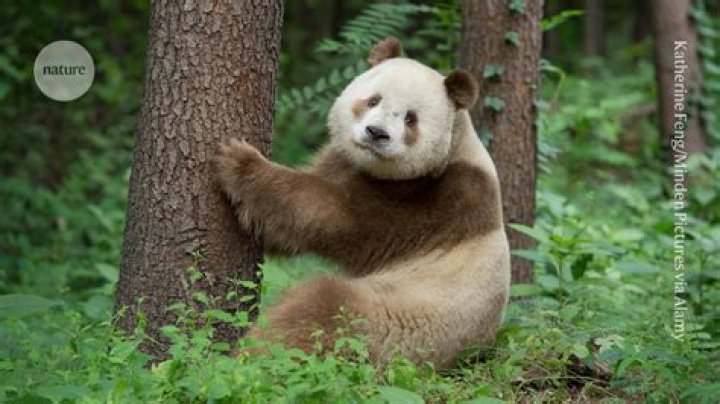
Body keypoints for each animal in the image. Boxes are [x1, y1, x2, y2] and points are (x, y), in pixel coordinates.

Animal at [213, 37, 510, 369]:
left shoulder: (434, 202)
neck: (456, 145)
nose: (376, 133)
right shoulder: (342, 161)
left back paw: (248, 356)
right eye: (373, 100)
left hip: (399, 323)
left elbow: (333, 216)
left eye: (411, 118)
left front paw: (238, 162)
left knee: (322, 311)